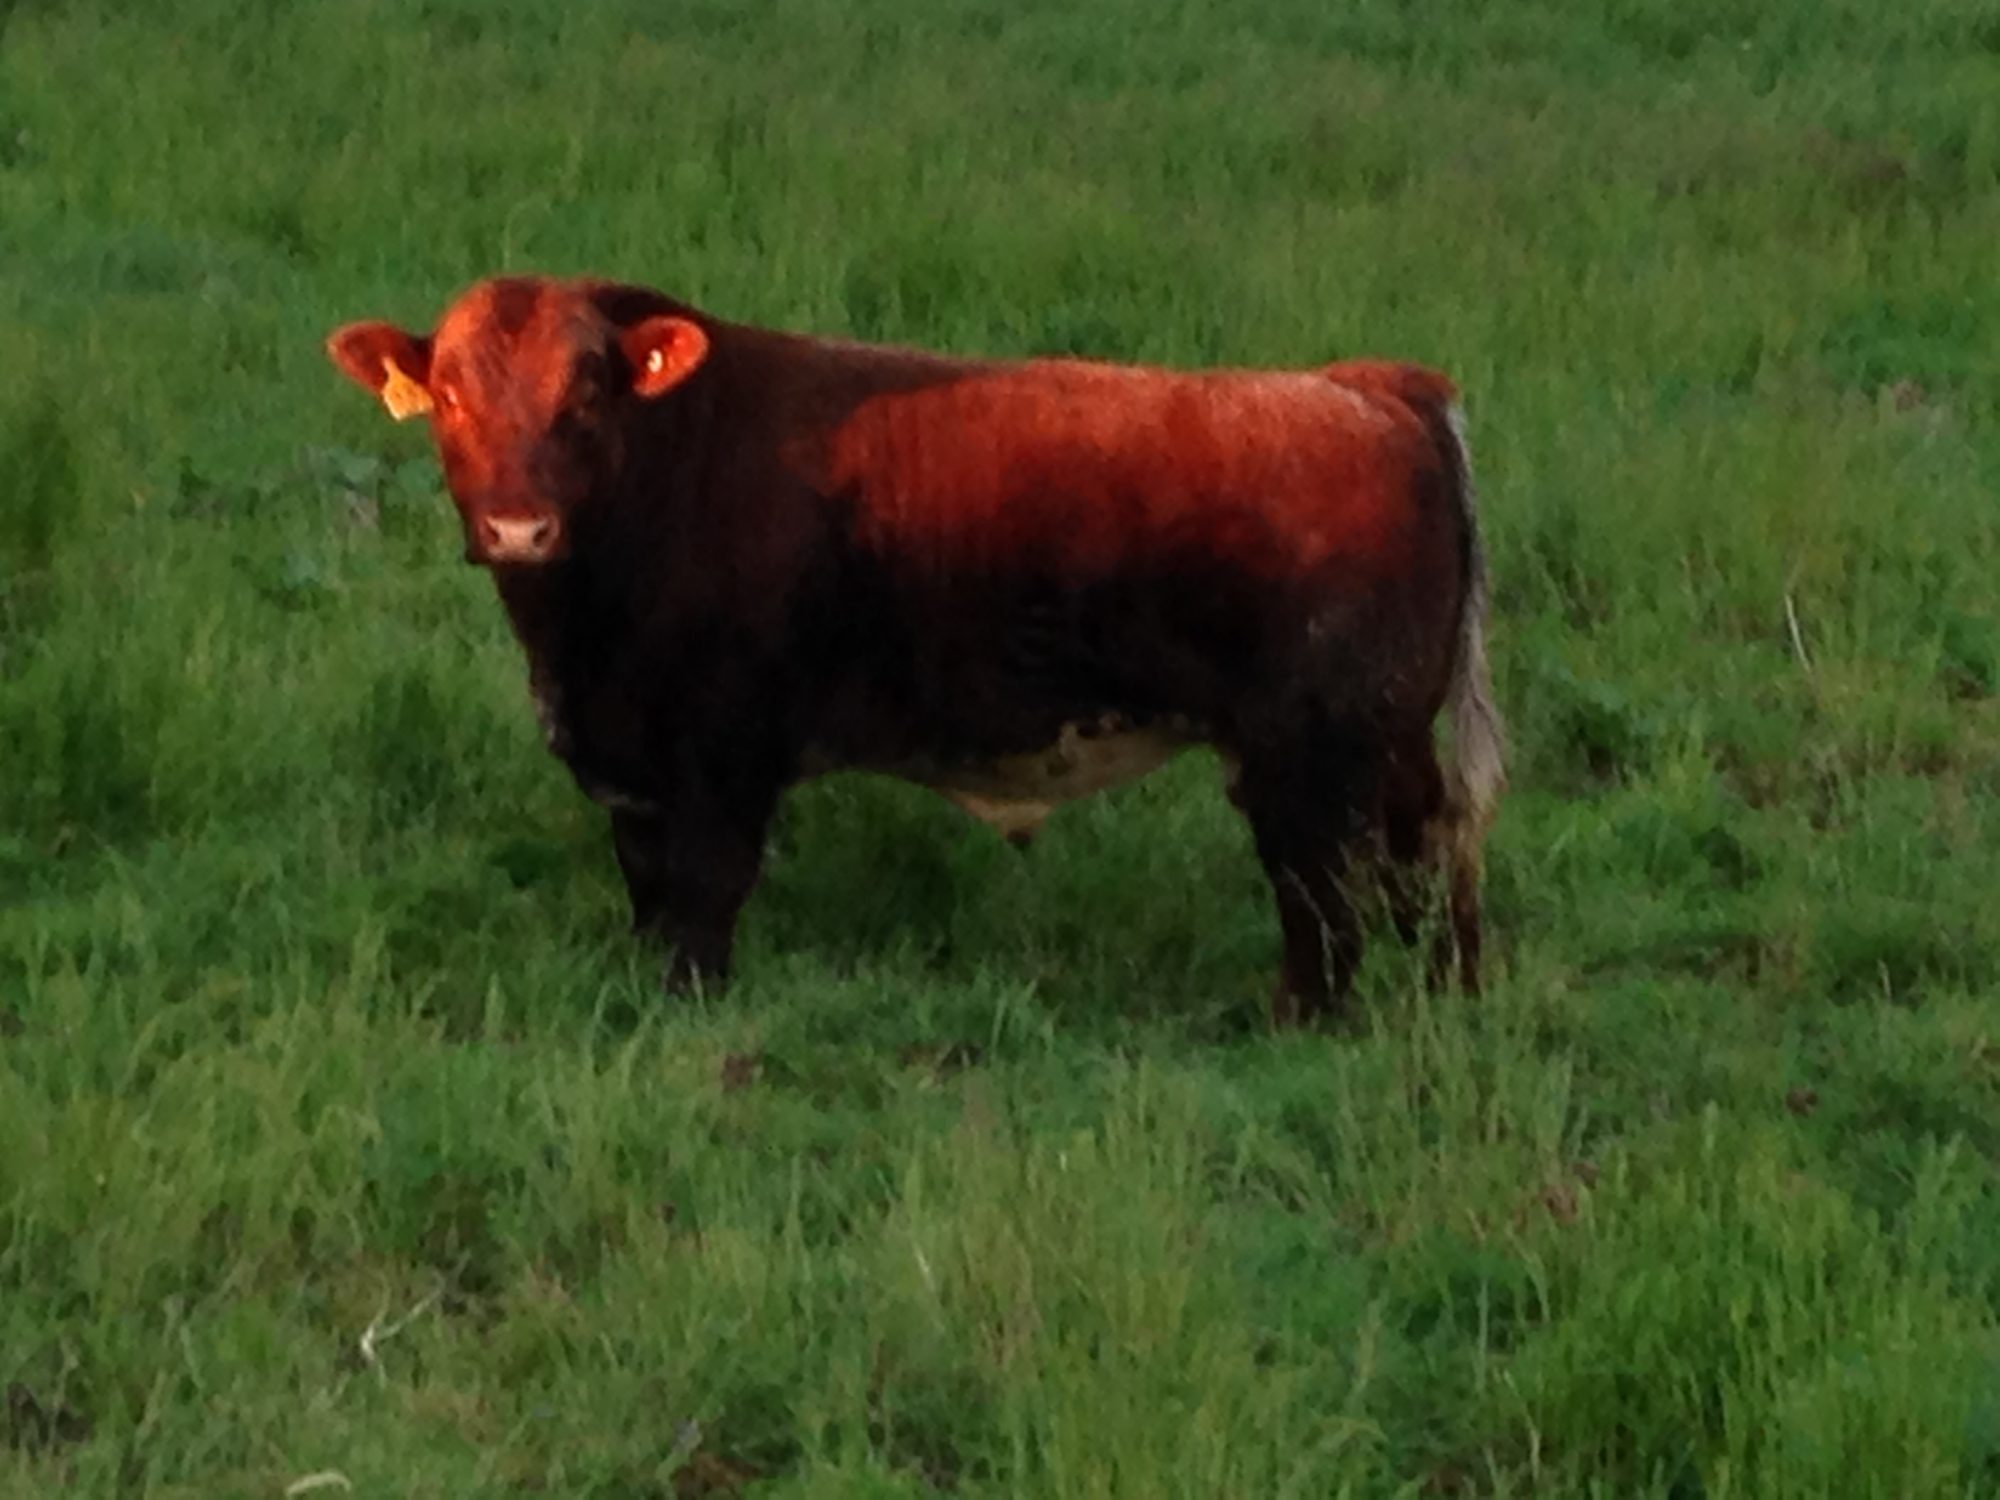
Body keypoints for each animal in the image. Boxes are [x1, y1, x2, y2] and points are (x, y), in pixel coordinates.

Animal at [326, 275, 1504, 1023]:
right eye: (451, 394)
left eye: (585, 392)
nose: (518, 527)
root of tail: (1367, 384)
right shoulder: (640, 771)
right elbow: (650, 895)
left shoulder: (722, 756)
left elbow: (702, 900)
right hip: (1385, 746)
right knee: (1423, 858)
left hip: (1311, 759)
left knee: (1325, 901)